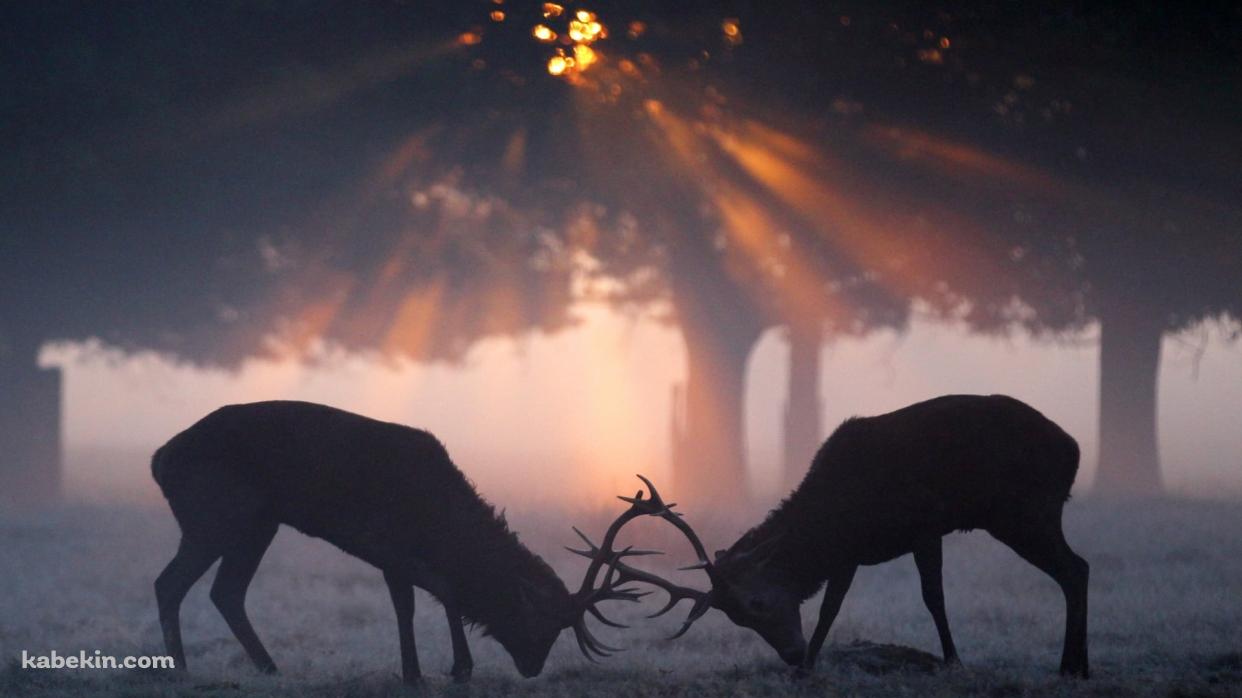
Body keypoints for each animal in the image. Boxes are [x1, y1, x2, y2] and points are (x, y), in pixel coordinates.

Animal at [151, 400, 659, 683]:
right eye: (543, 622)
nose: (533, 667)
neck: (438, 521)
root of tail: (158, 461)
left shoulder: (395, 555)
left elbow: (428, 598)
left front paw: (434, 670)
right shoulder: (388, 544)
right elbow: (428, 599)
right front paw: (445, 671)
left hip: (257, 524)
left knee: (225, 592)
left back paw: (269, 667)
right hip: (213, 515)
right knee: (169, 583)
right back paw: (181, 670)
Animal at [607, 395, 1091, 678]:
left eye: (757, 603)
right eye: (737, 619)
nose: (791, 654)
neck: (835, 519)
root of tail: (1074, 450)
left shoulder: (920, 528)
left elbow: (928, 597)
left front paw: (953, 661)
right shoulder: (852, 551)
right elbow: (835, 606)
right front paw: (808, 667)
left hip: (1025, 513)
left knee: (1076, 568)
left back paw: (1072, 667)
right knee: (1077, 568)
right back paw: (1076, 665)